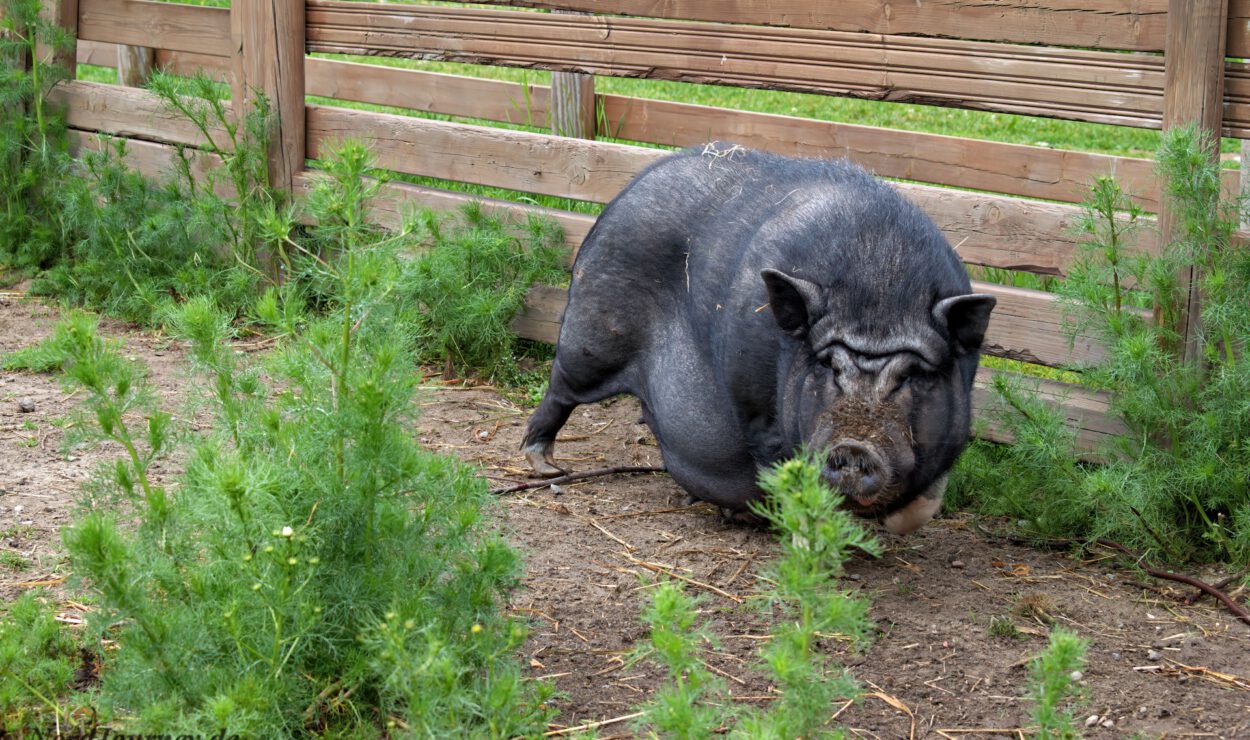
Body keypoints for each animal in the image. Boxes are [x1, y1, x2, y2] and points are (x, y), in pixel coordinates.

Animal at [517, 144, 995, 535]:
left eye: (914, 374)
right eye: (827, 366)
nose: (854, 448)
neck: (880, 285)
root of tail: (629, 189)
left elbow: (922, 509)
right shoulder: (759, 412)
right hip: (591, 335)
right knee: (560, 390)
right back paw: (545, 466)